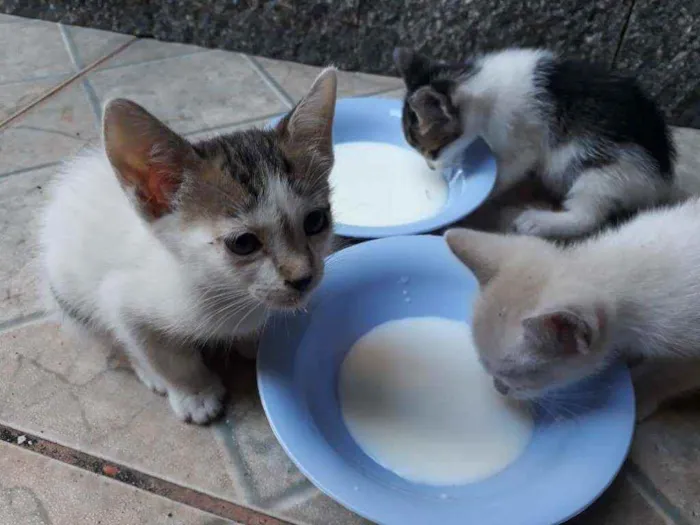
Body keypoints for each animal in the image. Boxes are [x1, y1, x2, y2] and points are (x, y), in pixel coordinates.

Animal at [39, 67, 340, 424]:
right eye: (243, 243)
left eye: (316, 221)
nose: (303, 277)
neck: (226, 294)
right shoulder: (122, 300)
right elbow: (165, 355)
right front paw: (194, 393)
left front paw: (253, 342)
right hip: (69, 293)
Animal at [396, 47, 676, 239]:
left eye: (433, 150)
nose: (431, 167)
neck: (482, 87)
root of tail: (662, 179)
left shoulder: (522, 141)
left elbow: (507, 172)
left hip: (600, 166)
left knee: (588, 215)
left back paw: (539, 222)